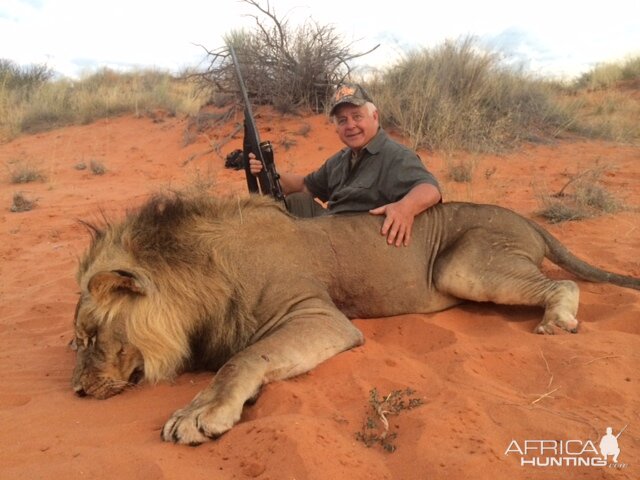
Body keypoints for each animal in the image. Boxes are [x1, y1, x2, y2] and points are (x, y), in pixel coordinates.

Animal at [71, 192, 640, 446]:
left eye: (90, 336)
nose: (76, 391)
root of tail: (531, 221)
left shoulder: (319, 315)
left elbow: (243, 358)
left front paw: (199, 413)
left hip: (463, 266)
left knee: (563, 285)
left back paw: (556, 320)